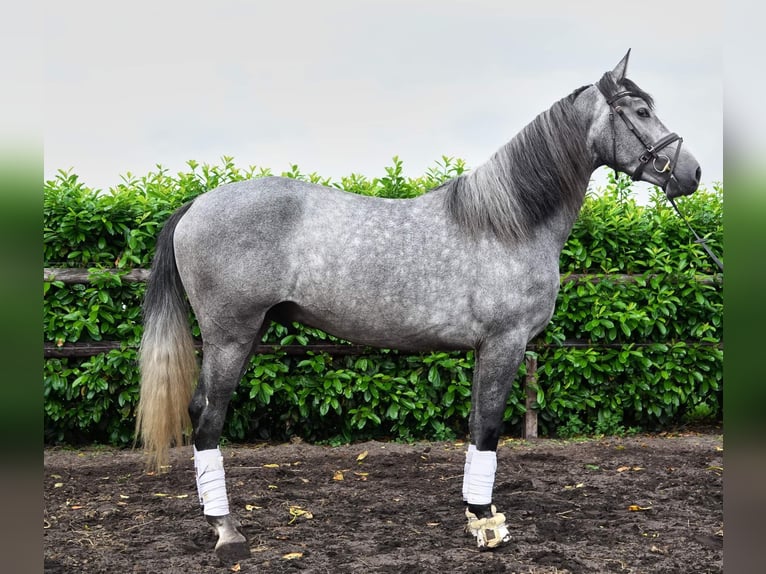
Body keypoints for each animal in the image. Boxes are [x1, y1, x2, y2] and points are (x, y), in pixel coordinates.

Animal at [136, 50, 701, 562]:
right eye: (641, 112)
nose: (691, 173)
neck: (507, 224)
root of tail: (195, 205)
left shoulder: (487, 348)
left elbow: (475, 425)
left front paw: (476, 513)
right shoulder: (505, 343)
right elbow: (489, 428)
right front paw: (486, 524)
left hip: (246, 334)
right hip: (230, 336)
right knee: (208, 419)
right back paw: (227, 532)